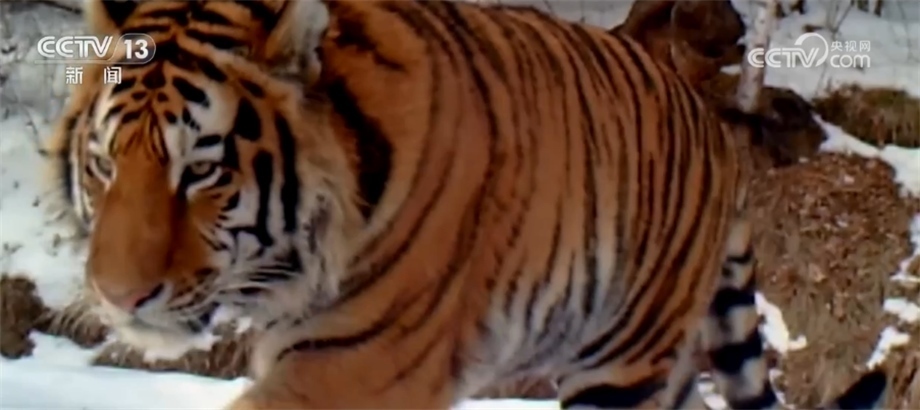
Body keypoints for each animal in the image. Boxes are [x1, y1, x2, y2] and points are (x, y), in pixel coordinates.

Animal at [47, 0, 888, 409]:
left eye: (202, 171)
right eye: (103, 167)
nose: (117, 297)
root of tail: (715, 131)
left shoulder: (353, 369)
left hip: (622, 362)